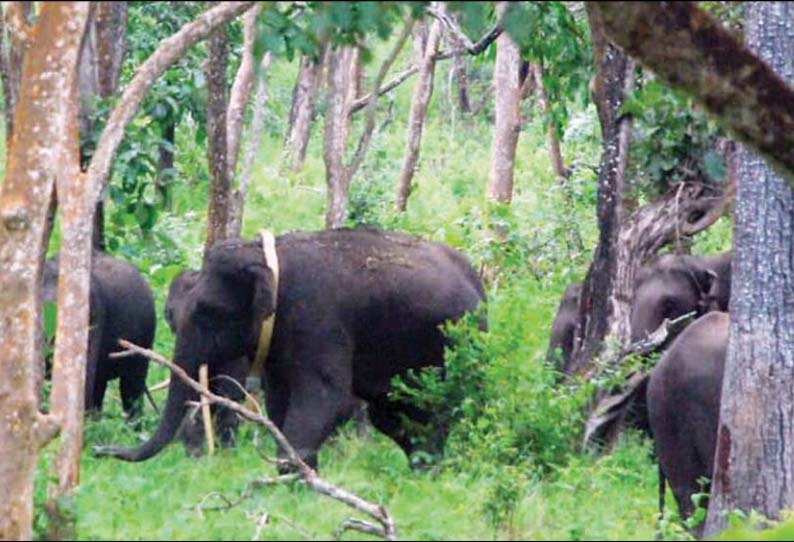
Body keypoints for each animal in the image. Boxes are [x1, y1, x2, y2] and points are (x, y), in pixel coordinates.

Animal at [96, 227, 486, 470]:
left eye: (209, 312)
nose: (101, 450)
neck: (266, 257)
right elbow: (279, 401)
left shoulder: (319, 319)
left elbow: (327, 398)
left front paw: (294, 478)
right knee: (394, 417)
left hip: (454, 351)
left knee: (433, 413)